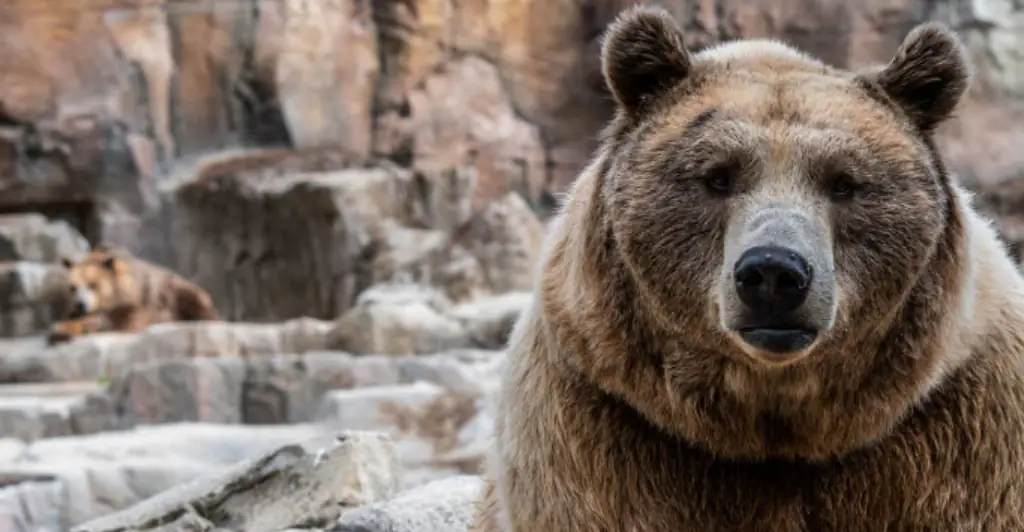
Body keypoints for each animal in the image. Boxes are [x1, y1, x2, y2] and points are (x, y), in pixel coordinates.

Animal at [47, 246, 222, 345]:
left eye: (93, 285)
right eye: (73, 287)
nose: (81, 304)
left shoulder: (139, 304)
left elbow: (116, 324)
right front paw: (60, 330)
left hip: (180, 291)